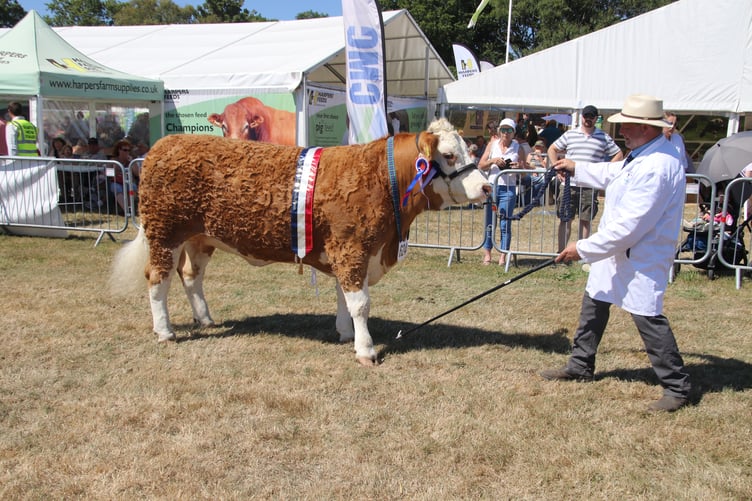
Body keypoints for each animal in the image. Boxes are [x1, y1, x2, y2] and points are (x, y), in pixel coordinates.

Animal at [110, 118, 491, 366]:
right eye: (449, 155)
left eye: (469, 150)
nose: (487, 187)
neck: (383, 179)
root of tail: (165, 144)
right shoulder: (352, 248)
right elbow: (360, 303)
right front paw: (365, 350)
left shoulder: (349, 251)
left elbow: (344, 298)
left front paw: (345, 333)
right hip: (165, 233)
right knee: (158, 279)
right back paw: (165, 331)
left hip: (200, 237)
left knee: (191, 276)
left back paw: (205, 319)